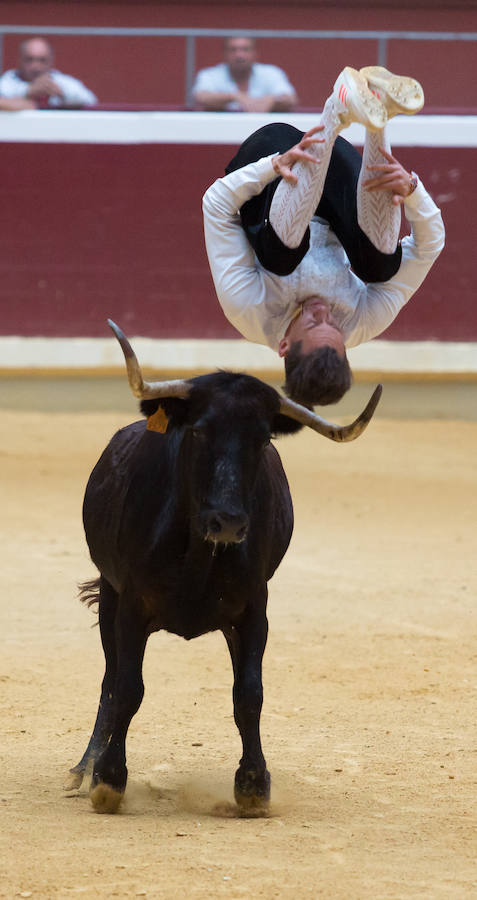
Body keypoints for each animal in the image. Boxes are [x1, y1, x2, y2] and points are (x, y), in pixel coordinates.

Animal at [66, 320, 380, 812]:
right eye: (198, 431)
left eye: (263, 438)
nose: (228, 522)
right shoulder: (131, 604)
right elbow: (129, 689)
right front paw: (108, 779)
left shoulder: (254, 611)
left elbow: (249, 694)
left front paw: (253, 784)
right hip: (110, 598)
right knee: (111, 680)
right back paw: (85, 767)